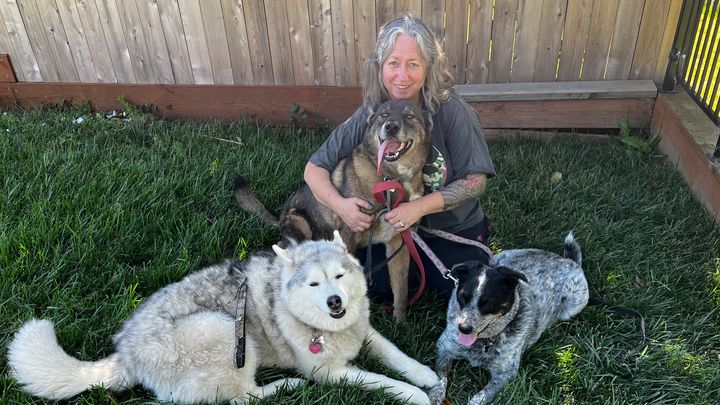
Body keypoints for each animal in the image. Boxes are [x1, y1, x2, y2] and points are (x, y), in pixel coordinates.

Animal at [8, 232, 439, 404]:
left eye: (339, 276)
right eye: (314, 283)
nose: (334, 302)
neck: (326, 329)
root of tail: (125, 354)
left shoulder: (362, 331)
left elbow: (396, 354)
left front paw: (425, 375)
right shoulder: (327, 372)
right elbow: (379, 379)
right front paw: (414, 395)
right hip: (227, 330)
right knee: (245, 397)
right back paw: (286, 386)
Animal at [235, 99, 431, 320]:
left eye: (409, 116)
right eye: (384, 115)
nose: (390, 127)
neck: (391, 179)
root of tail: (280, 219)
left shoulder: (399, 244)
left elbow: (400, 288)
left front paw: (400, 321)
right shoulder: (349, 236)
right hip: (300, 222)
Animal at [429, 232, 589, 405]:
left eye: (488, 303)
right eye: (463, 297)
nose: (463, 329)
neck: (484, 342)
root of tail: (567, 260)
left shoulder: (505, 374)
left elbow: (480, 397)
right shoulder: (444, 347)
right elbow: (439, 378)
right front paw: (434, 396)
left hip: (574, 302)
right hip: (500, 257)